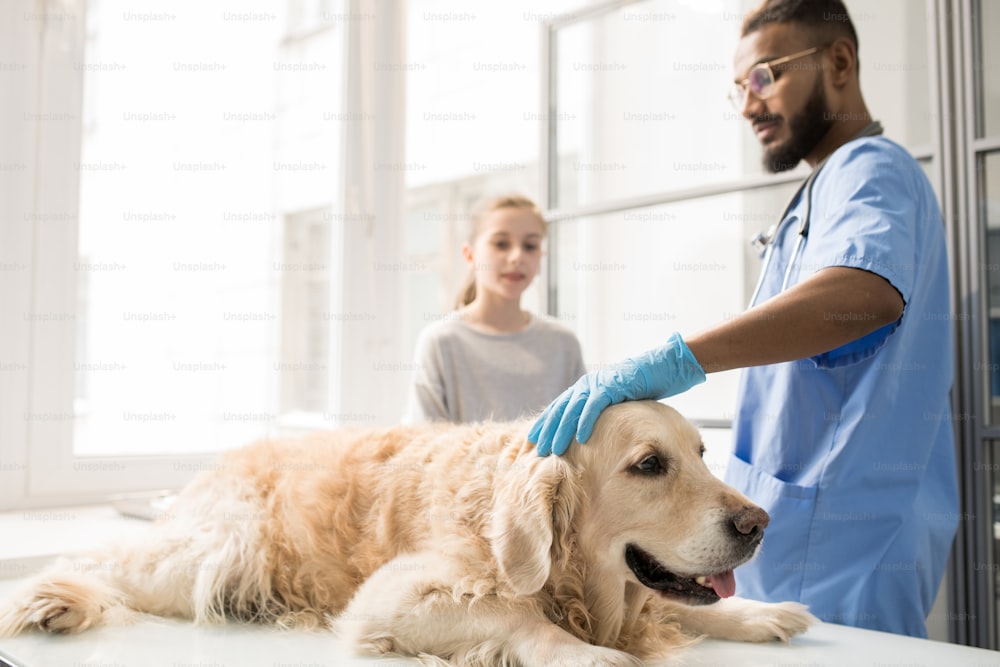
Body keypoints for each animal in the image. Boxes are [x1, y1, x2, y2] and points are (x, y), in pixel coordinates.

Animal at [0, 400, 812, 664]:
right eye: (649, 464)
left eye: (703, 452)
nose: (760, 523)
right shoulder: (392, 597)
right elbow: (517, 613)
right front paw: (584, 653)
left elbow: (683, 603)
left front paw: (758, 612)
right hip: (223, 548)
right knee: (103, 560)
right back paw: (52, 599)